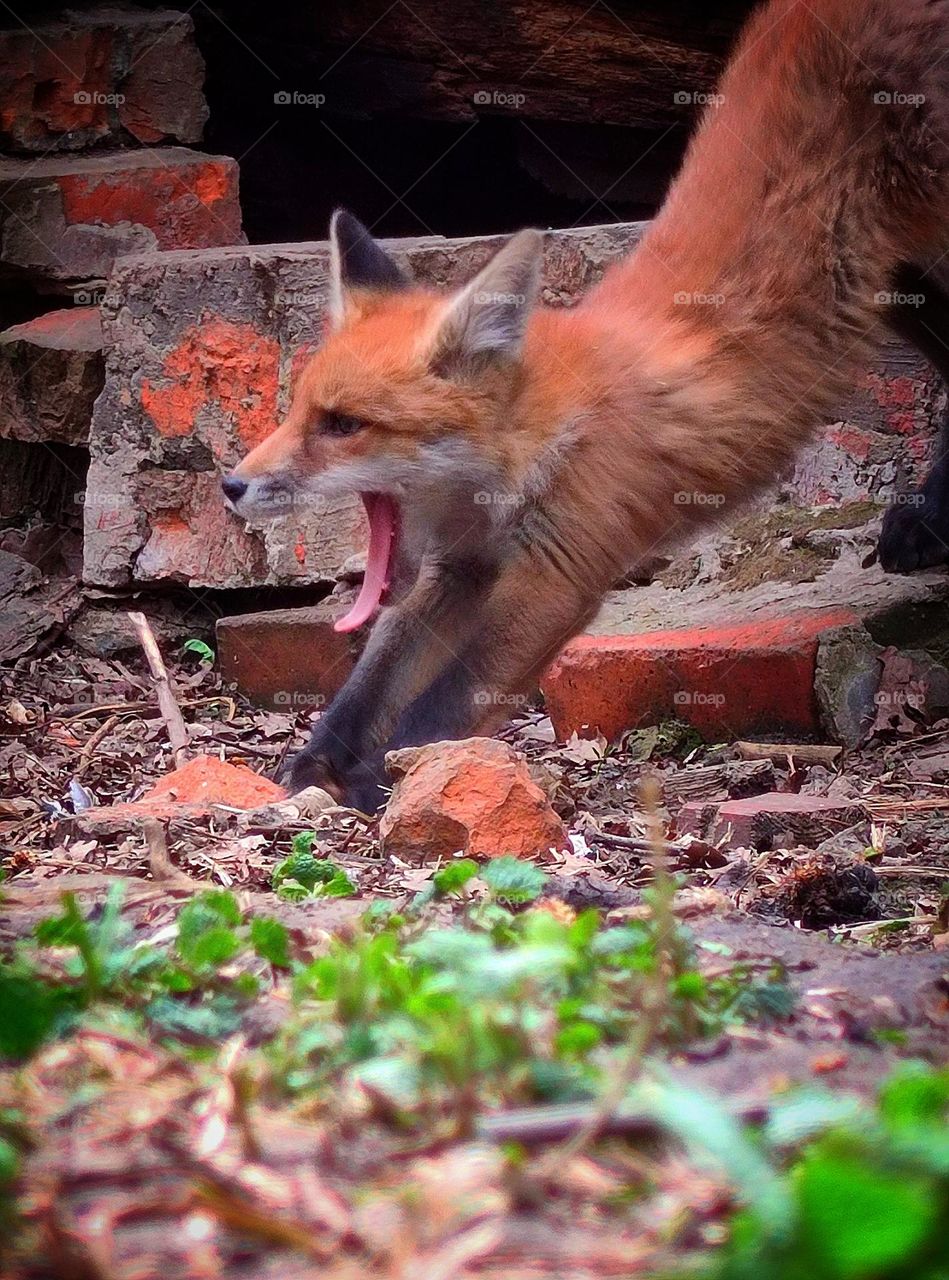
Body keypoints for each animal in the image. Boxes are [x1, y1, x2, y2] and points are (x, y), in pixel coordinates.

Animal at [224, 0, 947, 808]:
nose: (231, 485)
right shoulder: (458, 570)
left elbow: (444, 704)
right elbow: (373, 677)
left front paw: (390, 780)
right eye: (296, 412)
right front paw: (316, 768)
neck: (524, 453)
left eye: (344, 426)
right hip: (896, 281)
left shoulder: (557, 572)